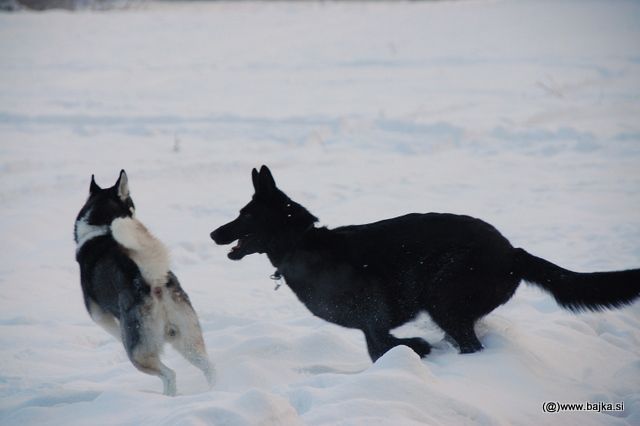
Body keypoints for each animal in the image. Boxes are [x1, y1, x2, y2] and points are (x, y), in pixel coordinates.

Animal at [211, 166, 640, 360]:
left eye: (245, 215)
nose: (214, 234)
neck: (301, 245)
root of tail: (512, 252)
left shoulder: (374, 319)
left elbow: (388, 345)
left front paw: (417, 348)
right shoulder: (371, 327)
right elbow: (379, 349)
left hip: (444, 298)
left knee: (470, 342)